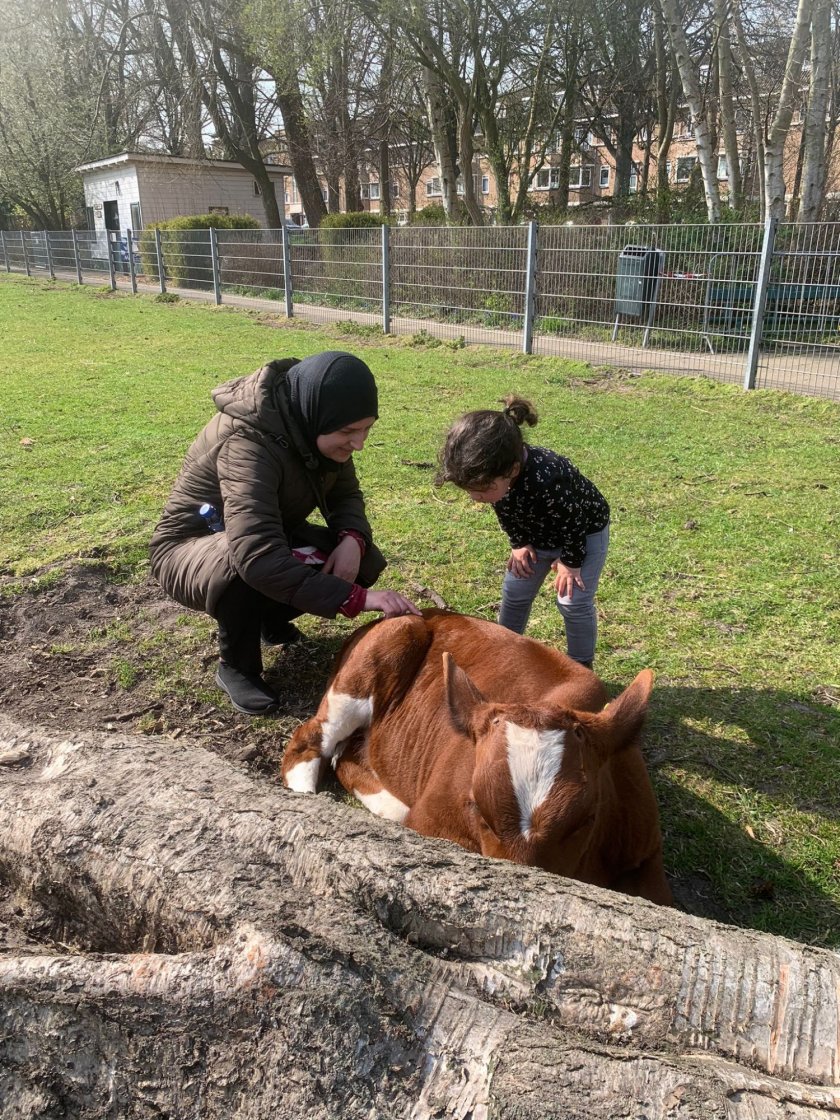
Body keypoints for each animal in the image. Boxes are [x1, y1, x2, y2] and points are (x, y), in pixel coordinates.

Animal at [286, 609, 676, 904]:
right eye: (475, 805)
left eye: (587, 818)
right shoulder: (430, 819)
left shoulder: (648, 849)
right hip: (375, 659)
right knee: (307, 741)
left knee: (345, 758)